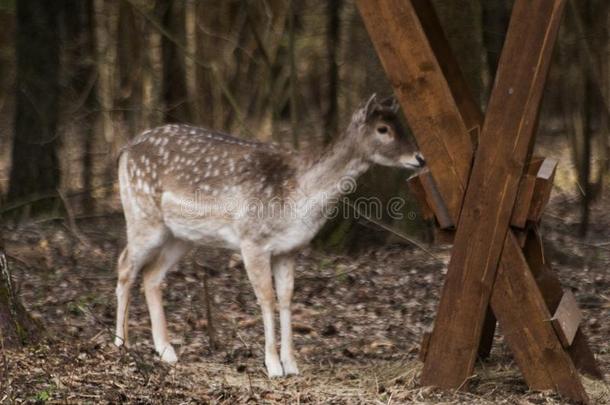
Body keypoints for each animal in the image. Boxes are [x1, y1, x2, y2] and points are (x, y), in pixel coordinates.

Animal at [113, 94, 422, 376]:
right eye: (383, 128)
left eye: (401, 123)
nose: (419, 158)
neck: (298, 196)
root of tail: (126, 149)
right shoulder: (252, 241)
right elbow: (266, 298)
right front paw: (273, 366)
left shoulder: (288, 249)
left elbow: (286, 299)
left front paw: (292, 365)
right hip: (142, 215)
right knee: (125, 264)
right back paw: (121, 344)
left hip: (181, 235)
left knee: (151, 275)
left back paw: (166, 351)